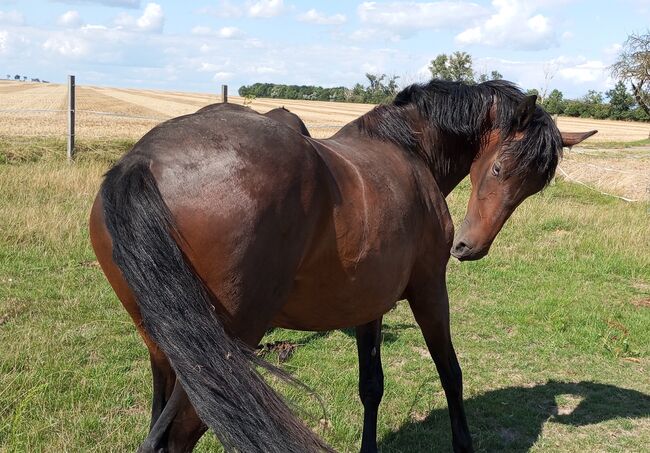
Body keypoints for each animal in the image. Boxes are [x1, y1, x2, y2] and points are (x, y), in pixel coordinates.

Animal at [88, 80, 596, 452]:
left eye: (533, 187)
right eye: (497, 170)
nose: (470, 247)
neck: (407, 150)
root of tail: (141, 162)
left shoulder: (368, 304)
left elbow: (372, 385)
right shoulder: (430, 290)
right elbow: (450, 372)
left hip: (166, 352)